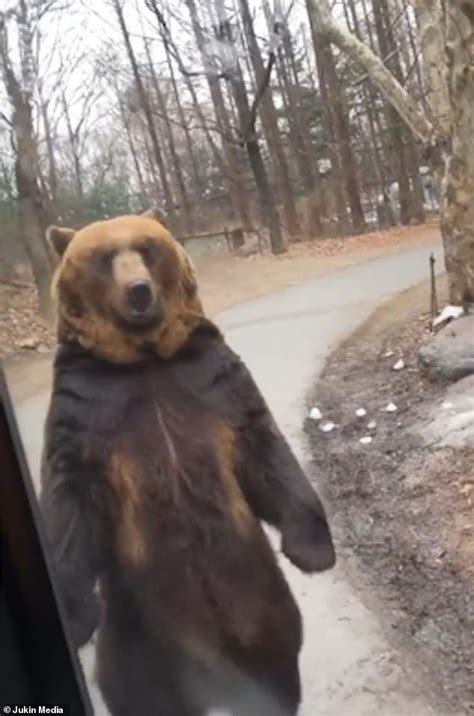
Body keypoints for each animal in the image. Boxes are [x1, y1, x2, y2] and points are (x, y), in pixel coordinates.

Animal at [41, 213, 336, 716]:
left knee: (276, 676)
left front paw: (313, 550)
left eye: (146, 247)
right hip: (136, 636)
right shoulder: (87, 403)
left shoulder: (209, 377)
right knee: (138, 692)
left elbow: (262, 447)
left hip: (262, 607)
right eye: (104, 257)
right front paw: (74, 614)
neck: (143, 359)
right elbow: (69, 496)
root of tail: (213, 672)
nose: (138, 291)